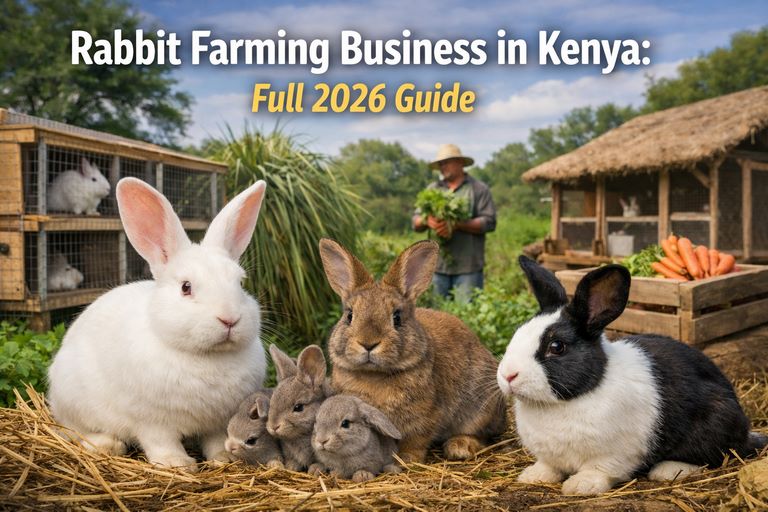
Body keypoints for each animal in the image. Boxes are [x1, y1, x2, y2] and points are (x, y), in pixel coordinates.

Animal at [47, 177, 268, 472]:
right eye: (186, 287)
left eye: (241, 283)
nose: (229, 318)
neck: (206, 357)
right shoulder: (151, 421)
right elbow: (161, 442)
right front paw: (178, 464)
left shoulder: (218, 422)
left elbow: (215, 440)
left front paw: (223, 458)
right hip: (75, 401)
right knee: (76, 431)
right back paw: (108, 445)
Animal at [267, 344, 330, 472]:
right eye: (272, 402)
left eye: (298, 407)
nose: (274, 426)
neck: (300, 435)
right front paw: (291, 466)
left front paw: (315, 469)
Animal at [318, 238, 507, 464]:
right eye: (349, 315)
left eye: (397, 317)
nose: (368, 343)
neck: (374, 375)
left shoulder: (426, 416)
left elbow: (415, 439)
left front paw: (406, 458)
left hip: (480, 406)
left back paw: (460, 447)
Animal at [497, 256, 768, 496]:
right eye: (517, 332)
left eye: (557, 347)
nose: (508, 375)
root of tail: (745, 429)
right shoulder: (550, 456)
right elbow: (549, 466)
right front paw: (533, 476)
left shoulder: (616, 454)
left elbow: (600, 470)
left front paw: (580, 486)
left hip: (714, 421)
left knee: (714, 454)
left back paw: (668, 470)